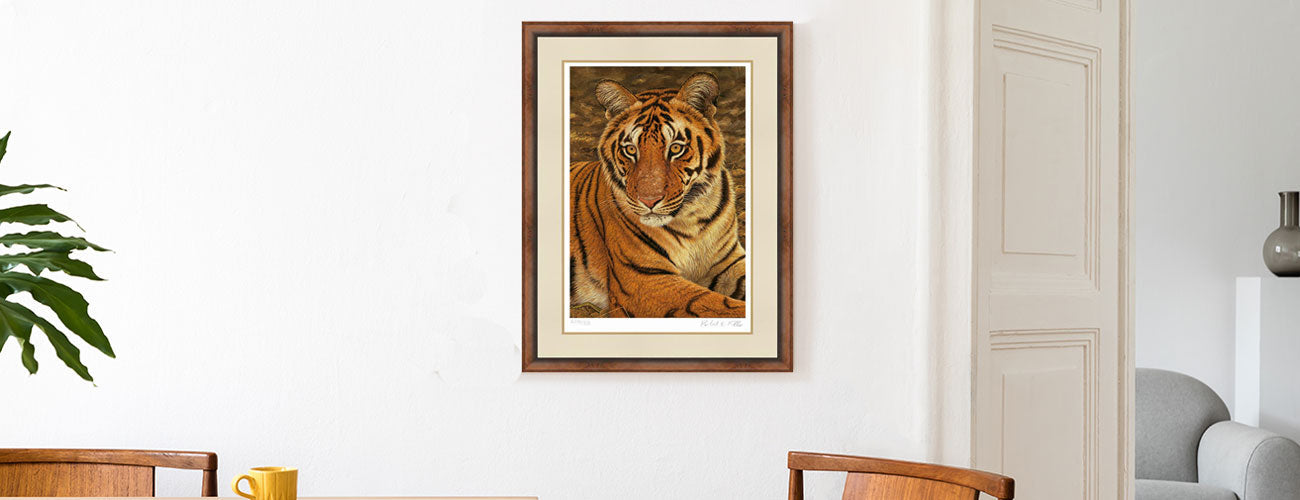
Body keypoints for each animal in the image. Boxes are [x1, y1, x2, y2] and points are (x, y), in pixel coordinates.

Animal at [569, 72, 746, 318]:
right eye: (630, 150)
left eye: (676, 148)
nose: (649, 201)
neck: (693, 217)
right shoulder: (645, 278)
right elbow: (716, 305)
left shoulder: (730, 262)